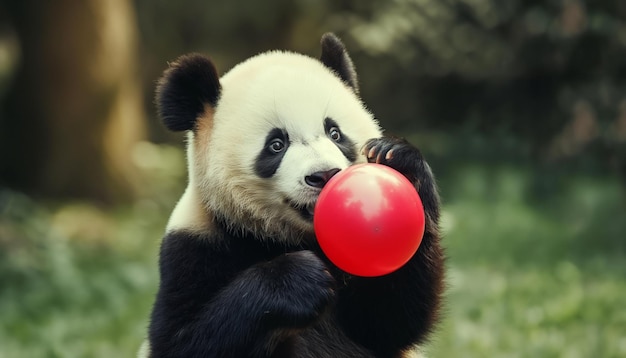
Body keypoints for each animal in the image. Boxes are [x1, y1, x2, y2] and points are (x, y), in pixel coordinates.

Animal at [141, 33, 444, 358]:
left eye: (335, 133)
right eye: (276, 144)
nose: (324, 175)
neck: (294, 238)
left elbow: (388, 322)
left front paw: (398, 159)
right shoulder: (194, 246)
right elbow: (181, 340)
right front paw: (300, 279)